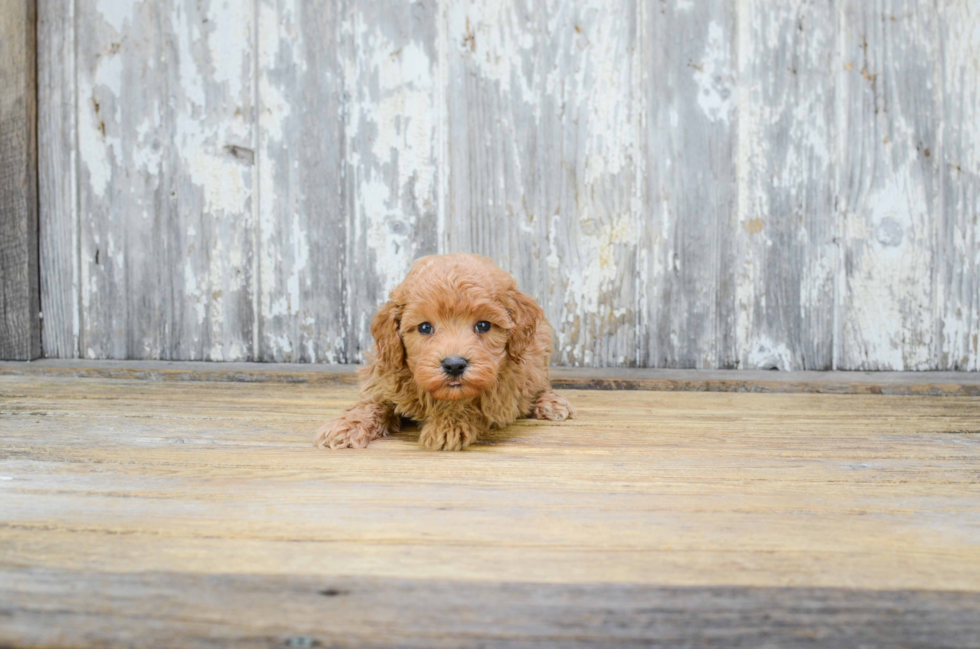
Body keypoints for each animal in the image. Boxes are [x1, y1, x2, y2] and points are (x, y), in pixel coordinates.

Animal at [314, 253, 576, 450]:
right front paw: (347, 425)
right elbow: (373, 402)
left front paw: (448, 424)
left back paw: (551, 403)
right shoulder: (385, 374)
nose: (454, 365)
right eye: (424, 327)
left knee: (540, 384)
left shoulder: (504, 389)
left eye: (483, 325)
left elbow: (474, 401)